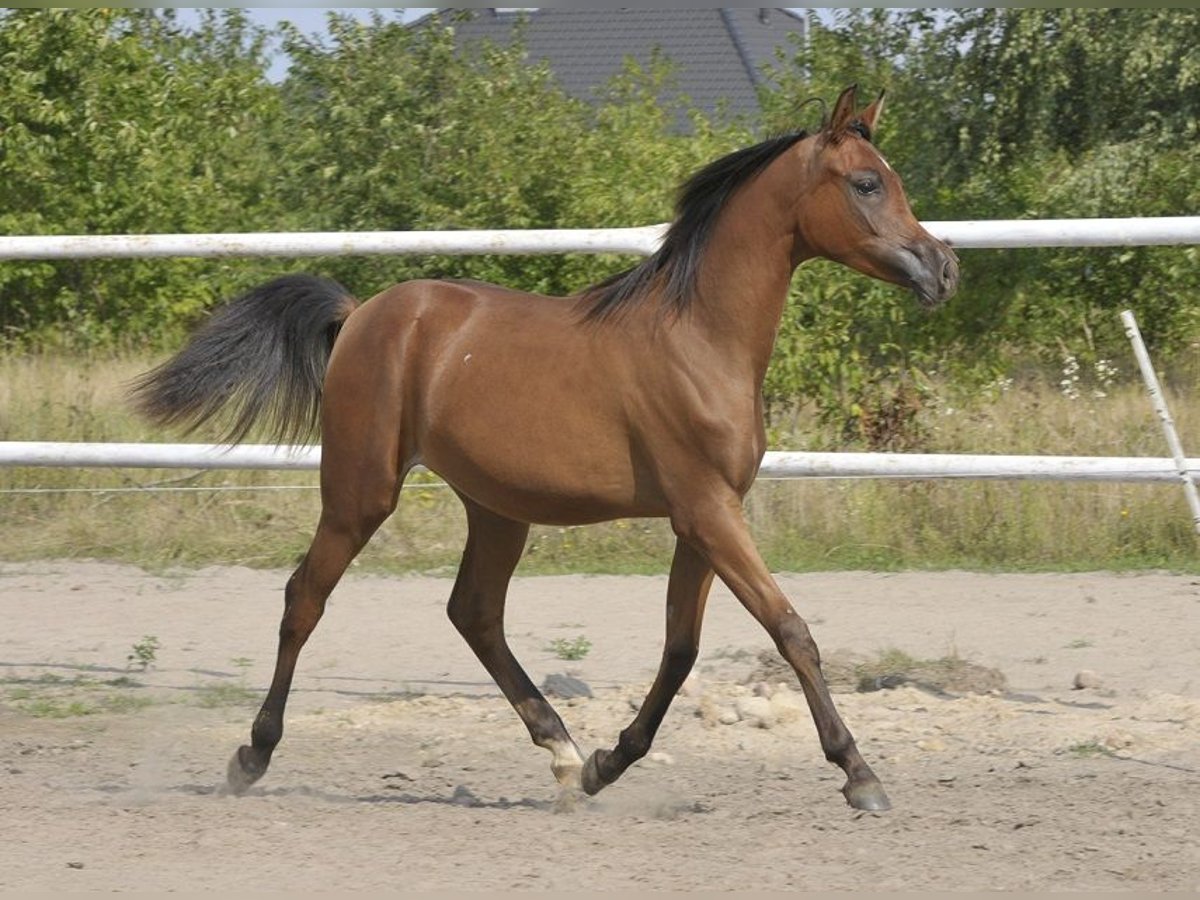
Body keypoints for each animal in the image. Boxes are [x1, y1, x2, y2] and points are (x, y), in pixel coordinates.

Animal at [132, 85, 958, 811]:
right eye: (866, 183)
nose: (942, 267)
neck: (699, 337)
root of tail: (363, 312)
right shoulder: (708, 512)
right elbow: (790, 631)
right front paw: (860, 776)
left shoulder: (702, 518)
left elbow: (680, 649)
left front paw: (605, 764)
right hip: (361, 490)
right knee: (306, 597)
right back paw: (251, 756)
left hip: (496, 507)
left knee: (474, 613)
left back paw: (562, 754)